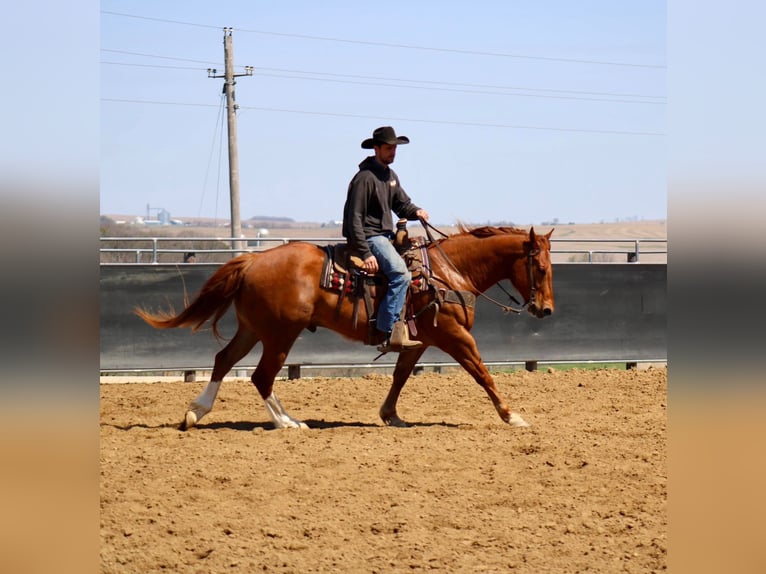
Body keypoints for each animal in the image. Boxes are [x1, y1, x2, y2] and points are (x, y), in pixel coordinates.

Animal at [136, 225, 560, 432]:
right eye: (540, 268)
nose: (546, 309)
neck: (447, 270)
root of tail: (254, 259)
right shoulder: (455, 336)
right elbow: (482, 373)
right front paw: (511, 416)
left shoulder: (420, 341)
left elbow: (400, 375)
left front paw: (391, 415)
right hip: (280, 334)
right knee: (261, 376)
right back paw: (286, 423)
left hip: (254, 329)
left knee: (224, 360)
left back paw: (197, 412)